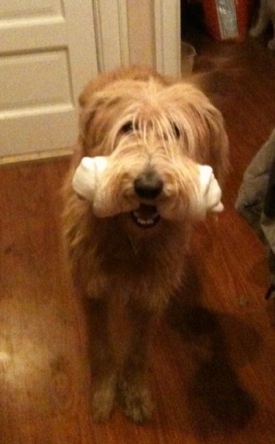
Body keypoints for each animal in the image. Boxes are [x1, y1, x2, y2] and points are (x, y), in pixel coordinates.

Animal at [62, 66, 231, 424]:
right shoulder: (92, 288)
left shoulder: (150, 293)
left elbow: (138, 349)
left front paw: (135, 394)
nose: (148, 187)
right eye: (128, 127)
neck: (129, 238)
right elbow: (101, 345)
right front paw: (104, 393)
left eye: (176, 131)